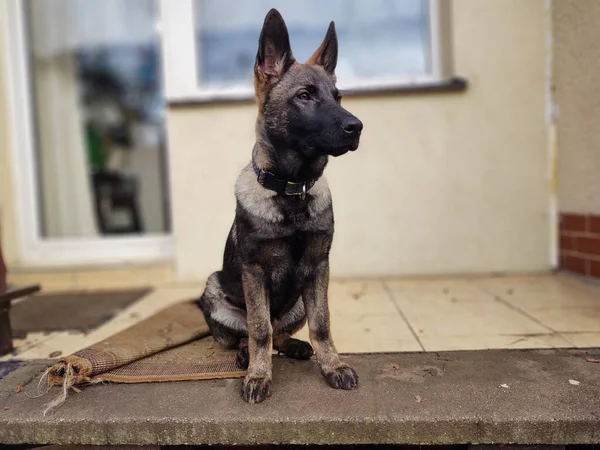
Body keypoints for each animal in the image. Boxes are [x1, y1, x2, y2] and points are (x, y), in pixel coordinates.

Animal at [199, 7, 364, 404]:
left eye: (338, 96)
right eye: (305, 95)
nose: (358, 127)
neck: (293, 192)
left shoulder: (319, 269)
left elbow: (322, 325)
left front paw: (332, 365)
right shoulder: (255, 272)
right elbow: (259, 329)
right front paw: (259, 376)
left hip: (298, 302)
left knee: (281, 333)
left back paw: (295, 346)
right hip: (215, 291)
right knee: (251, 333)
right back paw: (246, 355)